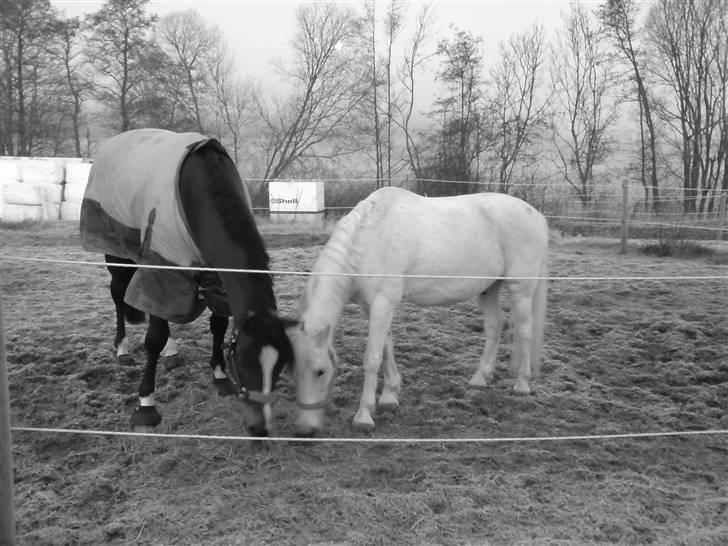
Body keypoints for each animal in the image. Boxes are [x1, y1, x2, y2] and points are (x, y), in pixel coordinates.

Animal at [80, 126, 292, 434]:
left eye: (280, 365)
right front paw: (146, 405)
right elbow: (153, 337)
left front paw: (219, 376)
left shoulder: (214, 277)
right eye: (244, 361)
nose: (260, 427)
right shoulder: (163, 267)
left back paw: (171, 352)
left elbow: (218, 326)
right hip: (116, 252)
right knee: (119, 295)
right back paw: (122, 349)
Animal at [288, 186, 548, 434]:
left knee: (525, 331)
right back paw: (480, 378)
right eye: (293, 371)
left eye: (321, 371)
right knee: (495, 326)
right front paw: (389, 396)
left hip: (521, 289)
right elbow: (387, 349)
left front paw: (364, 415)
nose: (305, 430)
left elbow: (372, 358)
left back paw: (522, 385)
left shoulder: (383, 304)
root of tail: (536, 215)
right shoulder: (372, 307)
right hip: (489, 288)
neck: (370, 239)